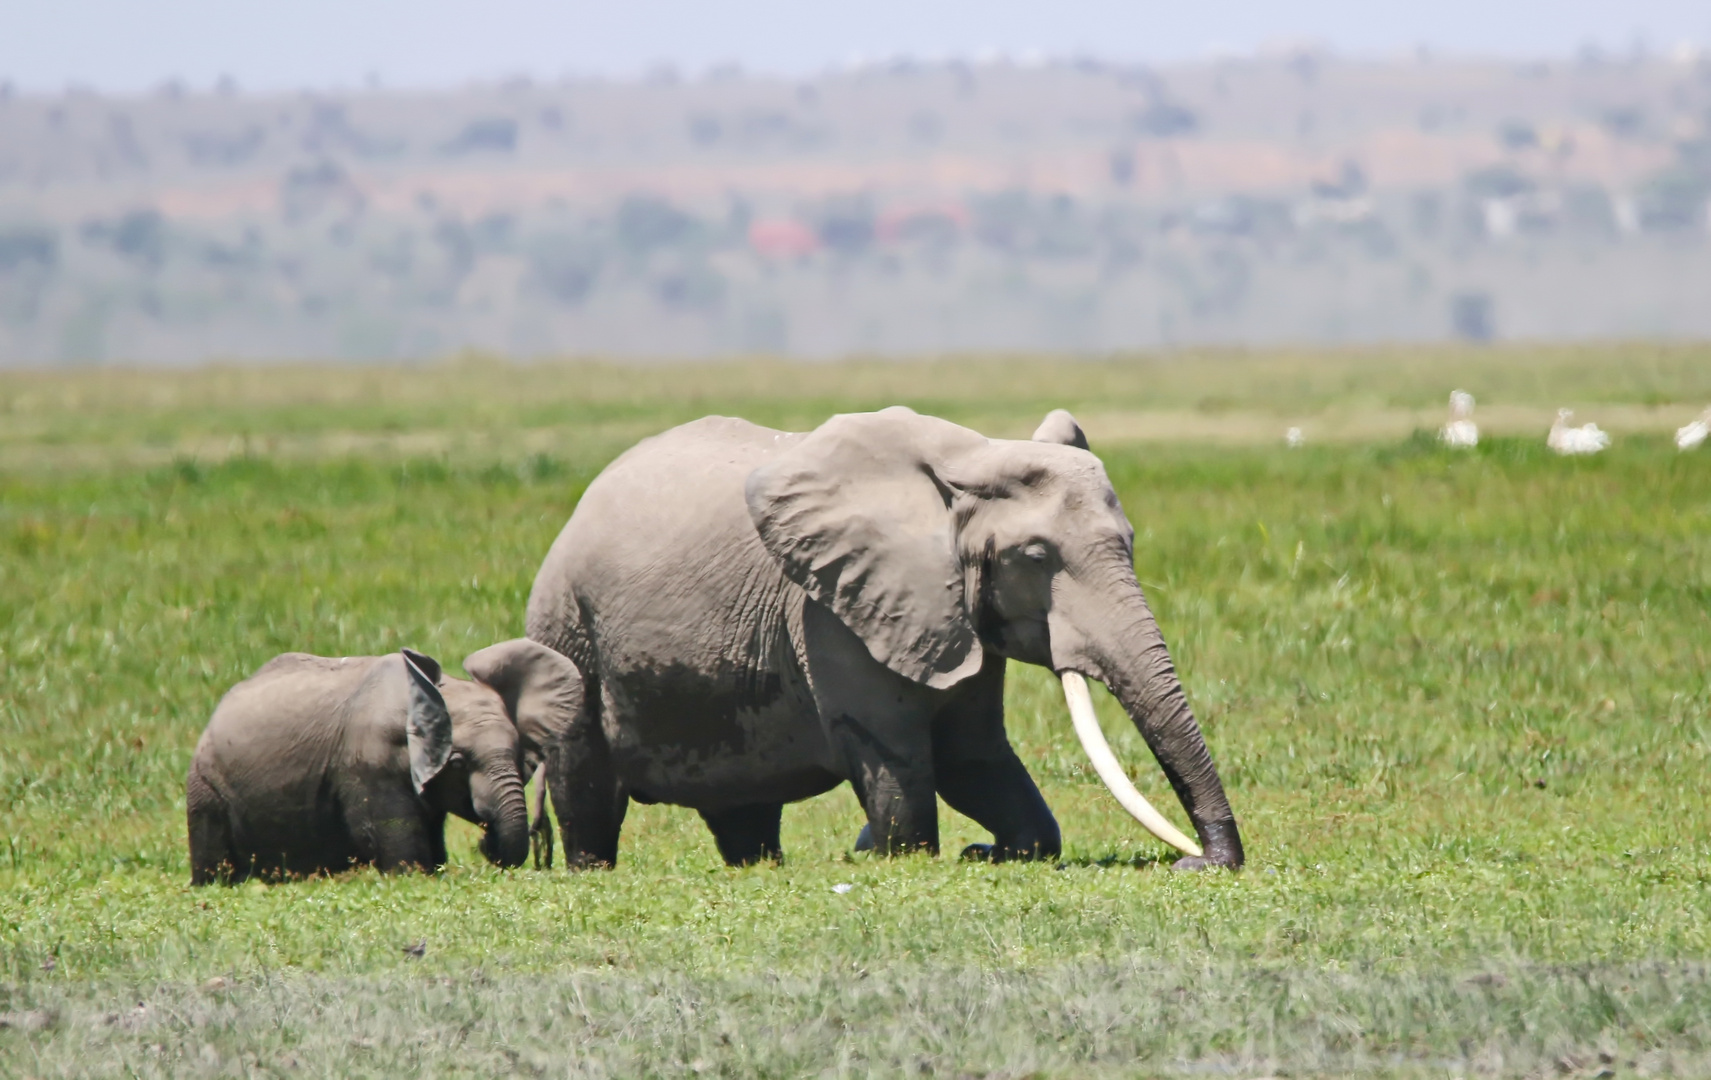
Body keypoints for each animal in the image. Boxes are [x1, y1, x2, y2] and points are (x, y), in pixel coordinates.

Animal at [189, 636, 581, 883]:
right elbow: (404, 858)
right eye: (456, 763)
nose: (485, 842)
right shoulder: (370, 762)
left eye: (517, 754)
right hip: (206, 787)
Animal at [523, 405, 1245, 869]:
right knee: (585, 780)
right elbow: (900, 762)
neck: (968, 463)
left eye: (1129, 542)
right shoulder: (830, 610)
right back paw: (590, 866)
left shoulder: (950, 611)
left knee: (744, 814)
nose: (1201, 863)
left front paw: (989, 851)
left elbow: (973, 756)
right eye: (1036, 557)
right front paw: (901, 853)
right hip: (568, 626)